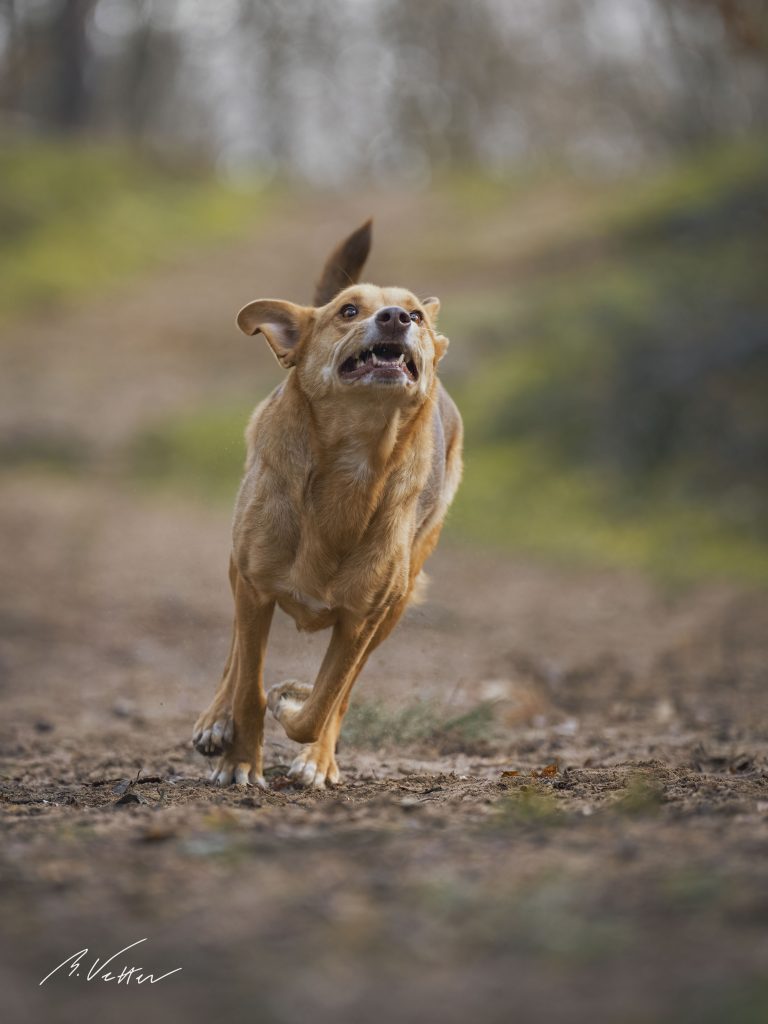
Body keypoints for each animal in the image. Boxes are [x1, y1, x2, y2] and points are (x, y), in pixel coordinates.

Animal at [193, 220, 462, 786]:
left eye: (416, 315)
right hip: (239, 562)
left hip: (398, 602)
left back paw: (319, 754)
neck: (351, 465)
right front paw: (240, 761)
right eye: (348, 311)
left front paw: (297, 714)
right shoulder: (254, 588)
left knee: (341, 693)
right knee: (234, 654)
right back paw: (216, 720)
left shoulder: (362, 619)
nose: (396, 316)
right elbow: (248, 685)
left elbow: (324, 703)